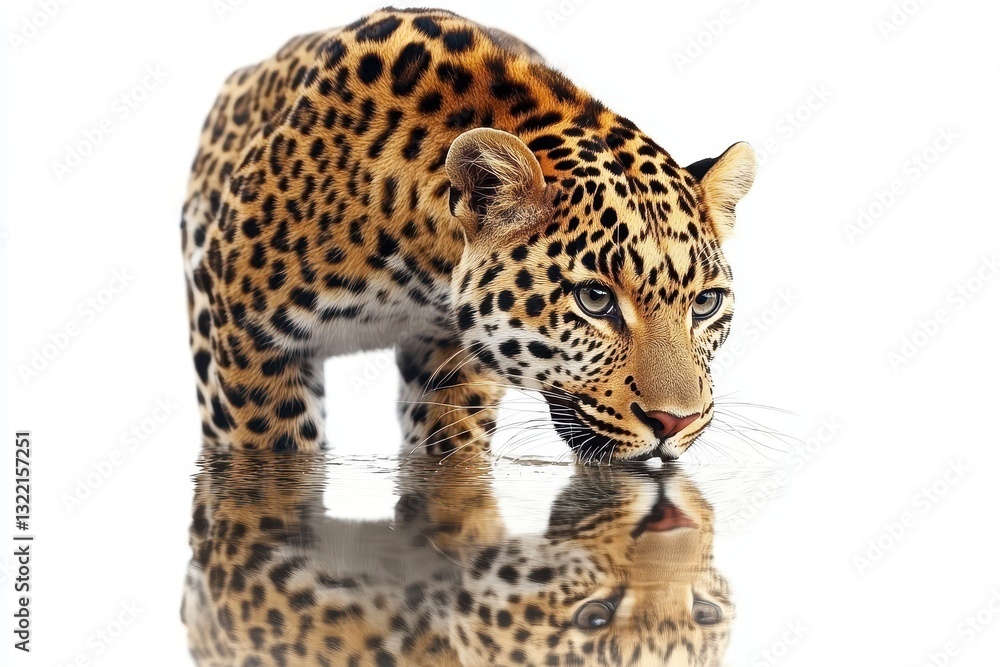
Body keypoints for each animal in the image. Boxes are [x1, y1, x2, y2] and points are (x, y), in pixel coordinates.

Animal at [181, 7, 757, 461]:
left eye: (705, 304)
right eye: (595, 299)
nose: (676, 422)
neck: (420, 265)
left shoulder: (452, 359)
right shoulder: (251, 339)